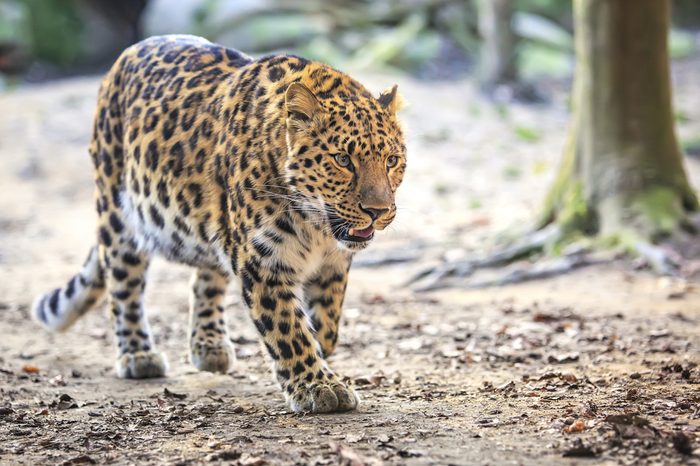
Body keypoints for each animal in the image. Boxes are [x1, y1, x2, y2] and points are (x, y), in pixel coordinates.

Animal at [31, 35, 404, 416]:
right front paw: (317, 385)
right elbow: (288, 327)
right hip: (119, 215)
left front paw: (320, 356)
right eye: (343, 160)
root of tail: (127, 54)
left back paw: (208, 345)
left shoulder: (333, 262)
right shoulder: (263, 262)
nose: (378, 211)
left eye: (392, 160)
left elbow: (326, 322)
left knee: (205, 278)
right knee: (124, 286)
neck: (315, 224)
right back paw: (138, 354)